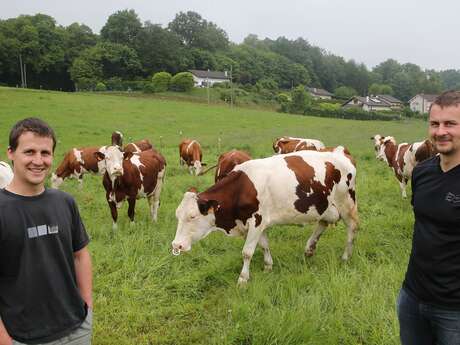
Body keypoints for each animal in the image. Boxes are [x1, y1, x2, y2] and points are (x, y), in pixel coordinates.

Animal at [171, 146, 358, 284]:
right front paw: (268, 266)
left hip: (346, 204)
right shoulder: (259, 223)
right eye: (177, 216)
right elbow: (264, 245)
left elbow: (247, 252)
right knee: (323, 223)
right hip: (325, 205)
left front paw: (243, 279)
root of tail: (340, 151)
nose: (176, 245)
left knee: (352, 228)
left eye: (192, 216)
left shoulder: (256, 221)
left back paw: (345, 257)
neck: (241, 188)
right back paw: (309, 249)